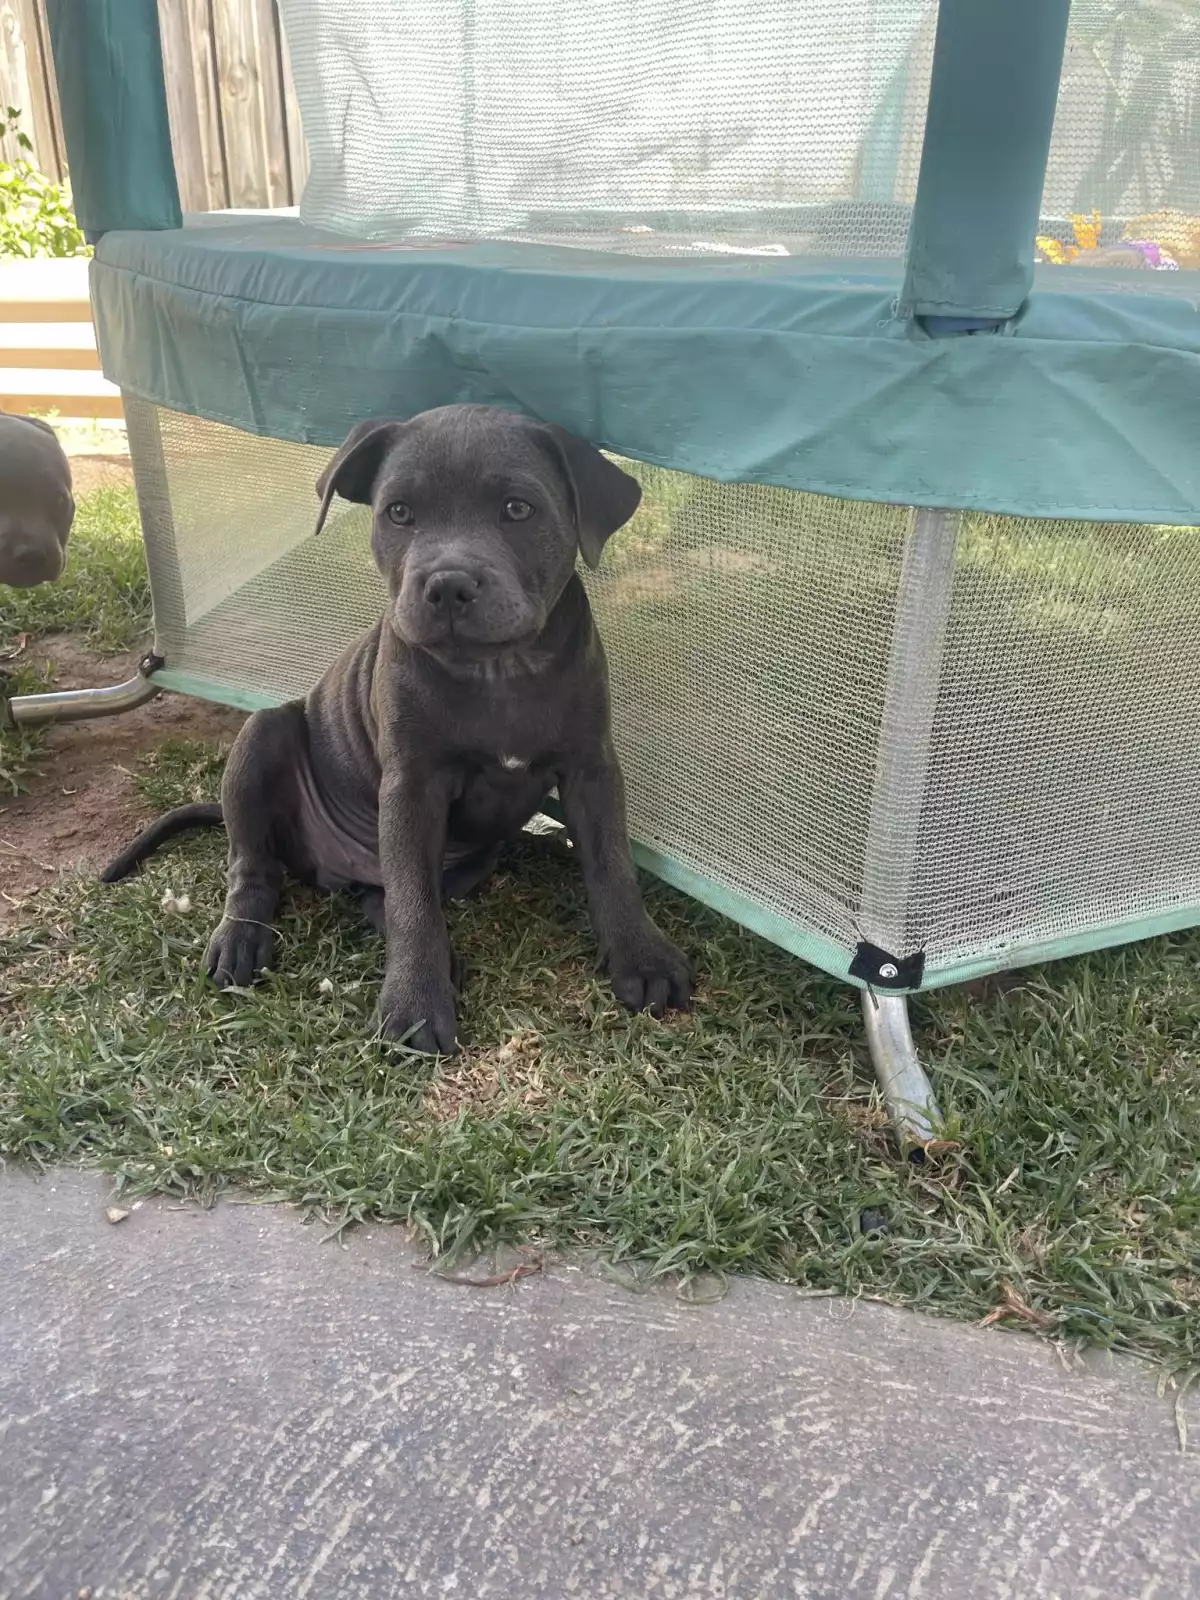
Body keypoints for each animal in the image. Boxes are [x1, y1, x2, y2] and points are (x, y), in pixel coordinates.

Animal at [102, 404, 693, 1052]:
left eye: (518, 508)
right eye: (399, 513)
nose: (448, 585)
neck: (498, 669)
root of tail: (331, 867)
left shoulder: (592, 767)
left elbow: (612, 864)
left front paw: (642, 957)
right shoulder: (412, 785)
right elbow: (414, 901)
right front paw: (415, 1004)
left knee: (379, 899)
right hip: (263, 737)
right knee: (257, 865)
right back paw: (242, 940)